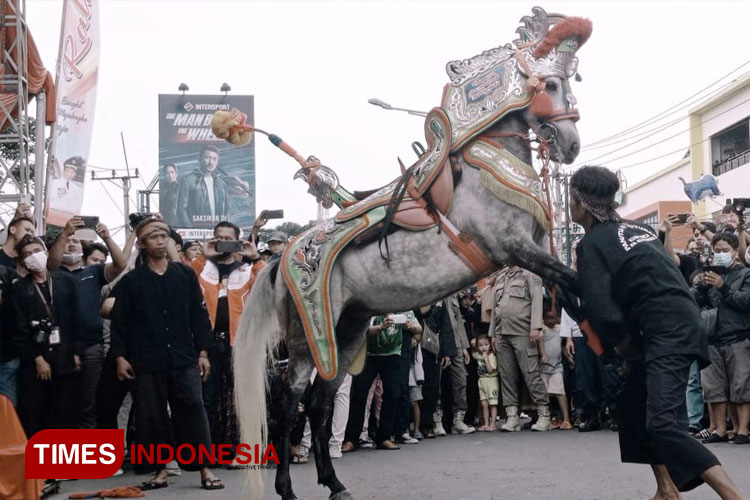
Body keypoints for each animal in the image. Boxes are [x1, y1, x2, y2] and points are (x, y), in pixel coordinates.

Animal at [235, 7, 592, 500]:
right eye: (552, 85)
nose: (570, 145)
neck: (485, 165)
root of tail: (280, 260)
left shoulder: (534, 250)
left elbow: (569, 283)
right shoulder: (512, 247)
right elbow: (574, 281)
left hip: (347, 331)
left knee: (320, 403)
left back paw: (334, 482)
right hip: (309, 337)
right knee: (291, 404)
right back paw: (288, 487)